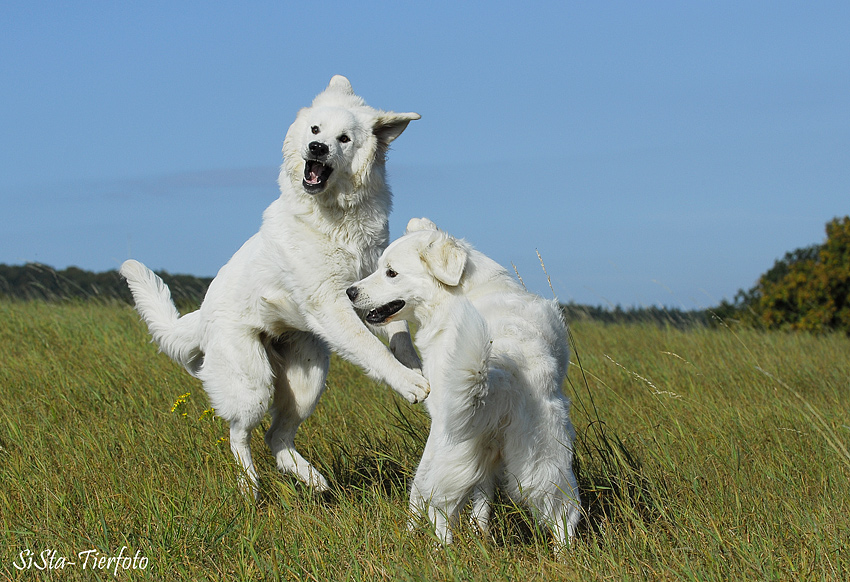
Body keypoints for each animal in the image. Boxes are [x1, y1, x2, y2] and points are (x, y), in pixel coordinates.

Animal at [121, 75, 424, 500]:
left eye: (344, 138)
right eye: (315, 130)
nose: (317, 148)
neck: (334, 216)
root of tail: (202, 316)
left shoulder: (370, 288)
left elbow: (397, 332)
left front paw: (416, 365)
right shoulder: (331, 302)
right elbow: (371, 349)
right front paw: (410, 384)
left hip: (307, 381)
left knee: (276, 437)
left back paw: (312, 479)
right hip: (253, 384)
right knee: (239, 434)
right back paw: (251, 489)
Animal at [344, 219, 576, 552]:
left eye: (391, 273)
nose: (349, 292)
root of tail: (503, 372)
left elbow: (425, 496)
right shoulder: (489, 450)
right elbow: (483, 497)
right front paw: (482, 533)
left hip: (447, 446)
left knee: (435, 506)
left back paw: (437, 552)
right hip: (544, 455)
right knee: (562, 511)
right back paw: (565, 555)